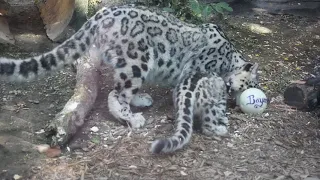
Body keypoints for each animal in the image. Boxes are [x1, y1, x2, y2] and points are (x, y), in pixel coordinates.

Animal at [0, 4, 260, 153]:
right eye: (251, 84)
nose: (239, 100)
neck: (229, 58)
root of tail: (99, 15)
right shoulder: (198, 70)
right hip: (137, 62)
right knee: (116, 94)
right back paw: (133, 118)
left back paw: (141, 100)